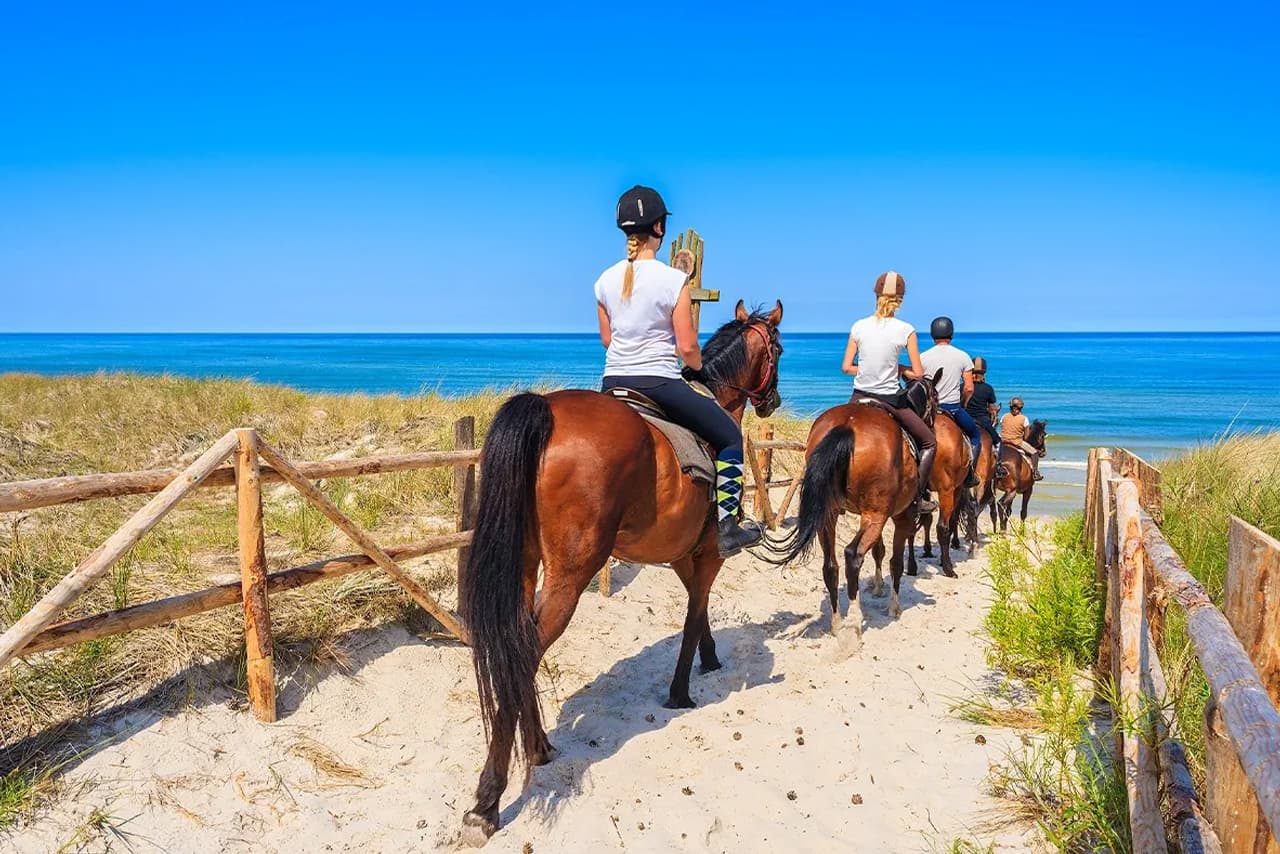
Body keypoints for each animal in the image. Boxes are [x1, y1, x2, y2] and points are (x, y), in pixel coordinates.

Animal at [457, 300, 784, 842]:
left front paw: (710, 660)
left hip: (526, 567)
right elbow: (694, 615)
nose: (773, 401)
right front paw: (680, 691)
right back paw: (487, 801)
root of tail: (546, 411)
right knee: (526, 653)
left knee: (518, 647)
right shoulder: (710, 553)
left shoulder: (682, 556)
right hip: (570, 575)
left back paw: (539, 748)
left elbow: (700, 611)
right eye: (777, 349)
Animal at [766, 371, 941, 643]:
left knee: (831, 565)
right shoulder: (900, 517)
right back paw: (855, 622)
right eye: (936, 400)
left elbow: (879, 551)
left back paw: (838, 622)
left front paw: (878, 587)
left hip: (831, 514)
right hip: (877, 515)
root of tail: (847, 426)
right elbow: (895, 562)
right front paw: (894, 606)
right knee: (852, 555)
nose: (933, 425)